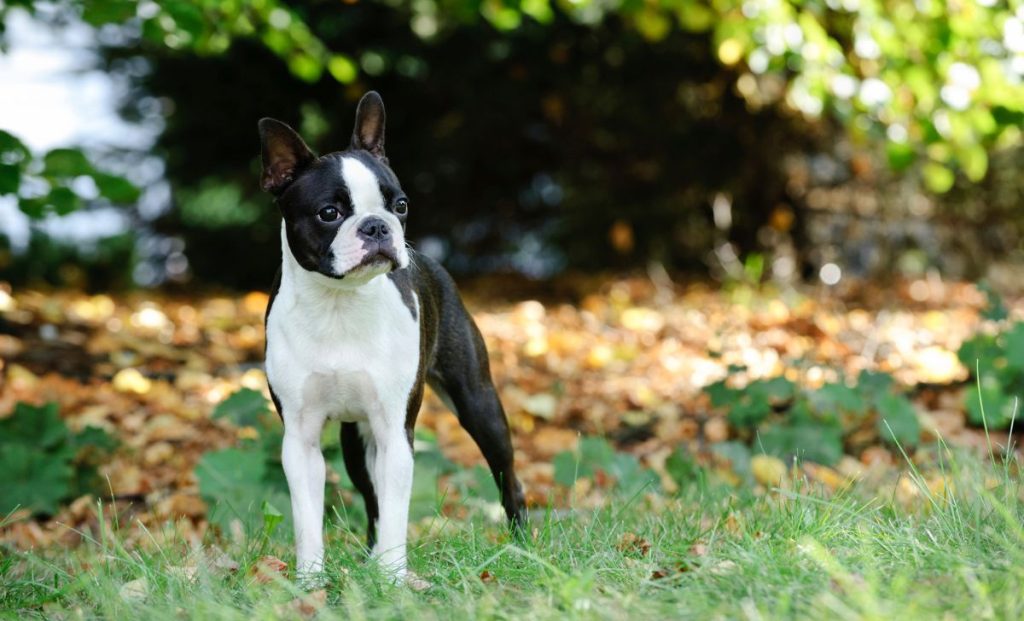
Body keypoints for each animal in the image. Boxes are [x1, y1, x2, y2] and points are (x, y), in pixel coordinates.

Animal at [256, 93, 528, 582]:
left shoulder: (395, 432)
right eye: (329, 213)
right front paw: (310, 581)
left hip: (478, 403)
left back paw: (523, 546)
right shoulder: (300, 440)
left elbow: (397, 511)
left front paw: (393, 578)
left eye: (400, 205)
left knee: (508, 478)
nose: (378, 225)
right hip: (355, 440)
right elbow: (308, 518)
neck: (340, 305)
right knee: (370, 500)